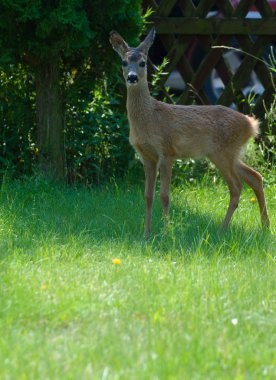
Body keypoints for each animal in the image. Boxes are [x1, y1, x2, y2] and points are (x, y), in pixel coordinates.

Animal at [109, 28, 270, 236]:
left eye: (143, 63)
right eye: (124, 62)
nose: (132, 77)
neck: (149, 118)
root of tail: (252, 124)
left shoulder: (167, 151)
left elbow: (164, 195)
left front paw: (166, 232)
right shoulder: (146, 156)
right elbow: (147, 196)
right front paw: (147, 233)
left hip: (223, 153)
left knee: (236, 187)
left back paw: (222, 229)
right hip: (227, 154)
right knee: (255, 177)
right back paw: (265, 226)